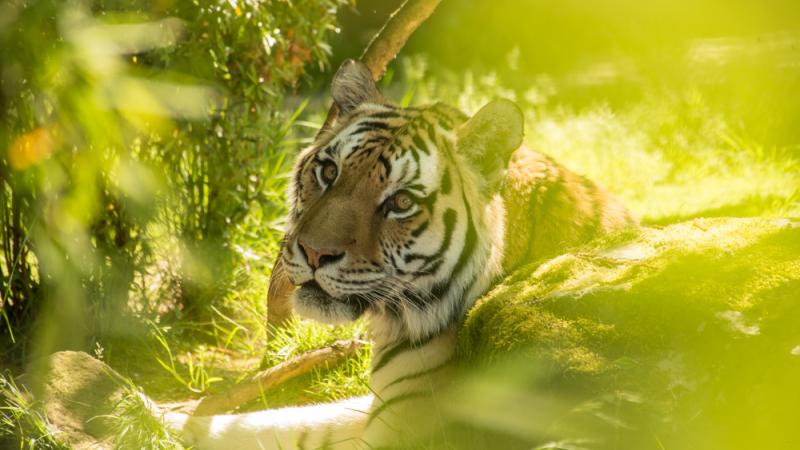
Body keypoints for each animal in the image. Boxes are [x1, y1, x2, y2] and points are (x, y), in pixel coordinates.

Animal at [164, 59, 636, 450]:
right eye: (329, 171)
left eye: (402, 202)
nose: (314, 253)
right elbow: (280, 419)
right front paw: (164, 416)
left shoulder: (401, 426)